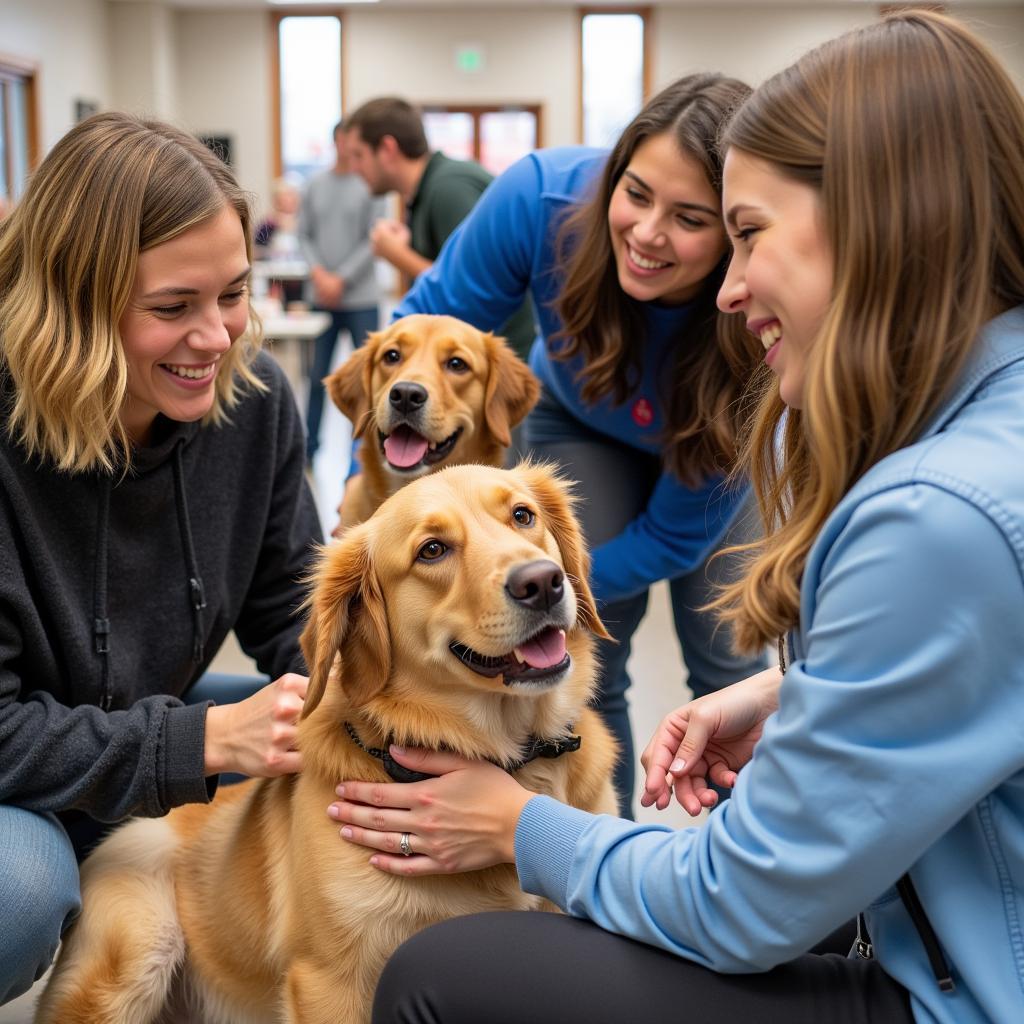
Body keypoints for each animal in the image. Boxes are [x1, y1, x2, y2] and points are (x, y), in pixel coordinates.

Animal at [36, 466, 614, 1024]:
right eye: (432, 550)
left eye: (523, 515)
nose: (542, 582)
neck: (512, 755)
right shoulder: (328, 982)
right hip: (133, 951)